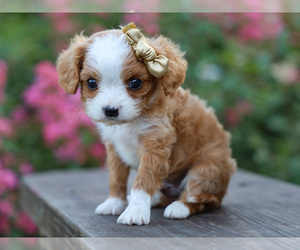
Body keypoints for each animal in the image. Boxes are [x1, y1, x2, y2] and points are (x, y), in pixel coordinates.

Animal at [56, 23, 237, 225]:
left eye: (135, 83)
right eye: (91, 83)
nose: (110, 110)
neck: (129, 121)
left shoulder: (155, 145)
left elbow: (142, 181)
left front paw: (135, 212)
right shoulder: (114, 148)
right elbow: (116, 177)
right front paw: (114, 202)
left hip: (207, 170)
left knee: (201, 198)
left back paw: (179, 207)